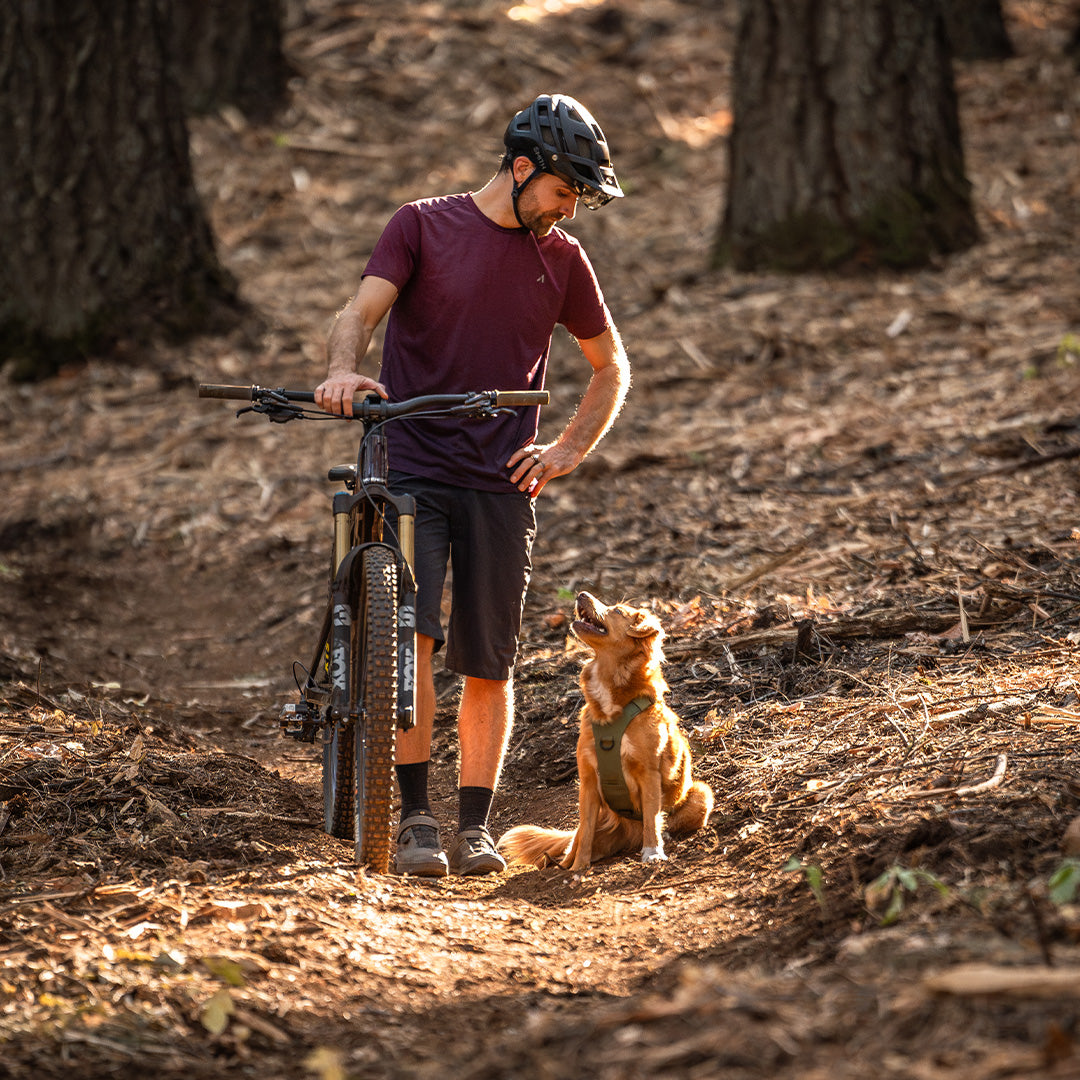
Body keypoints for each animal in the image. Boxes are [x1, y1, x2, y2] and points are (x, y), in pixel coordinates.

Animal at [496, 591, 717, 868]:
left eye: (618, 611)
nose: (582, 593)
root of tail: (627, 833)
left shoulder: (649, 772)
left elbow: (652, 818)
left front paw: (653, 851)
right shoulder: (588, 779)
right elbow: (586, 832)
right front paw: (578, 867)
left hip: (702, 794)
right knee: (578, 837)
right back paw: (565, 862)